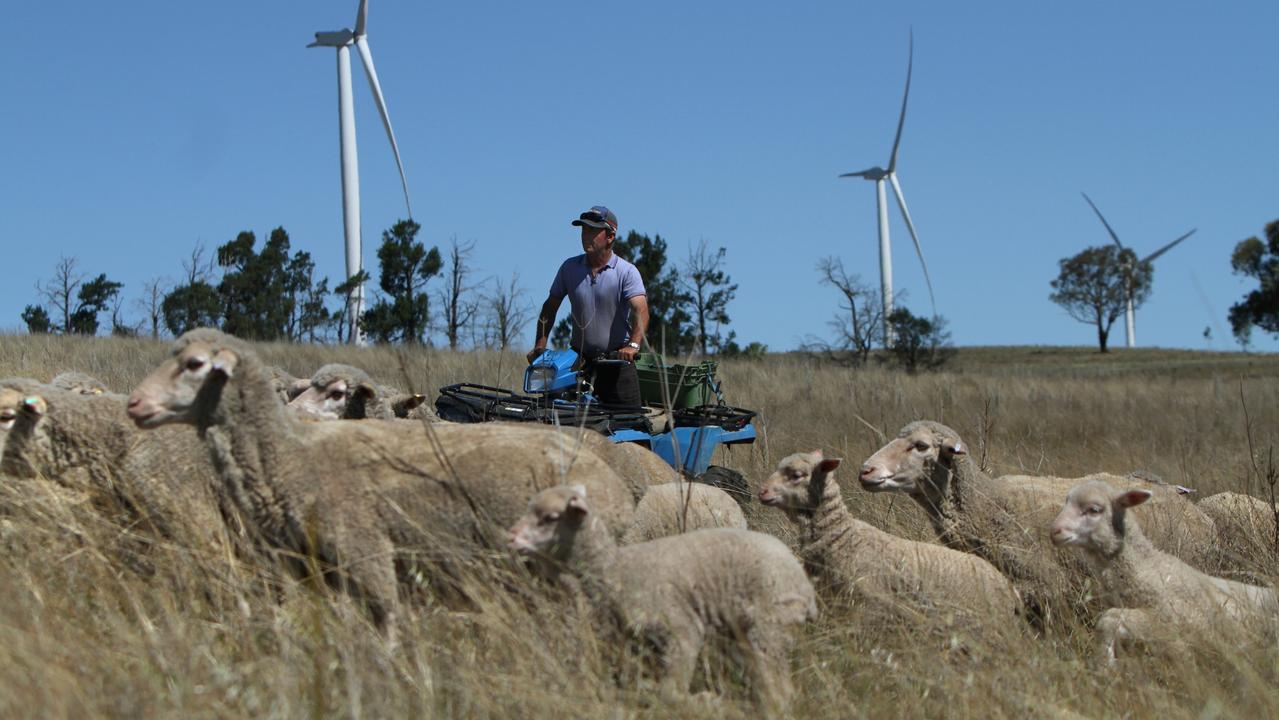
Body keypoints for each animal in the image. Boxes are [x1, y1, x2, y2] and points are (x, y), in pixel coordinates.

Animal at [503, 483, 813, 716]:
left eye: (550, 517)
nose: (510, 537)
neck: (616, 568)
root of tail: (803, 582)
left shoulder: (682, 630)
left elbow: (671, 692)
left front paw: (703, 702)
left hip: (770, 626)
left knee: (780, 691)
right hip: (744, 633)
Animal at [1048, 478, 1279, 665]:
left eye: (1094, 509)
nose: (1054, 531)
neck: (1145, 566)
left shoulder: (1171, 620)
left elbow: (1108, 620)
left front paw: (1104, 664)